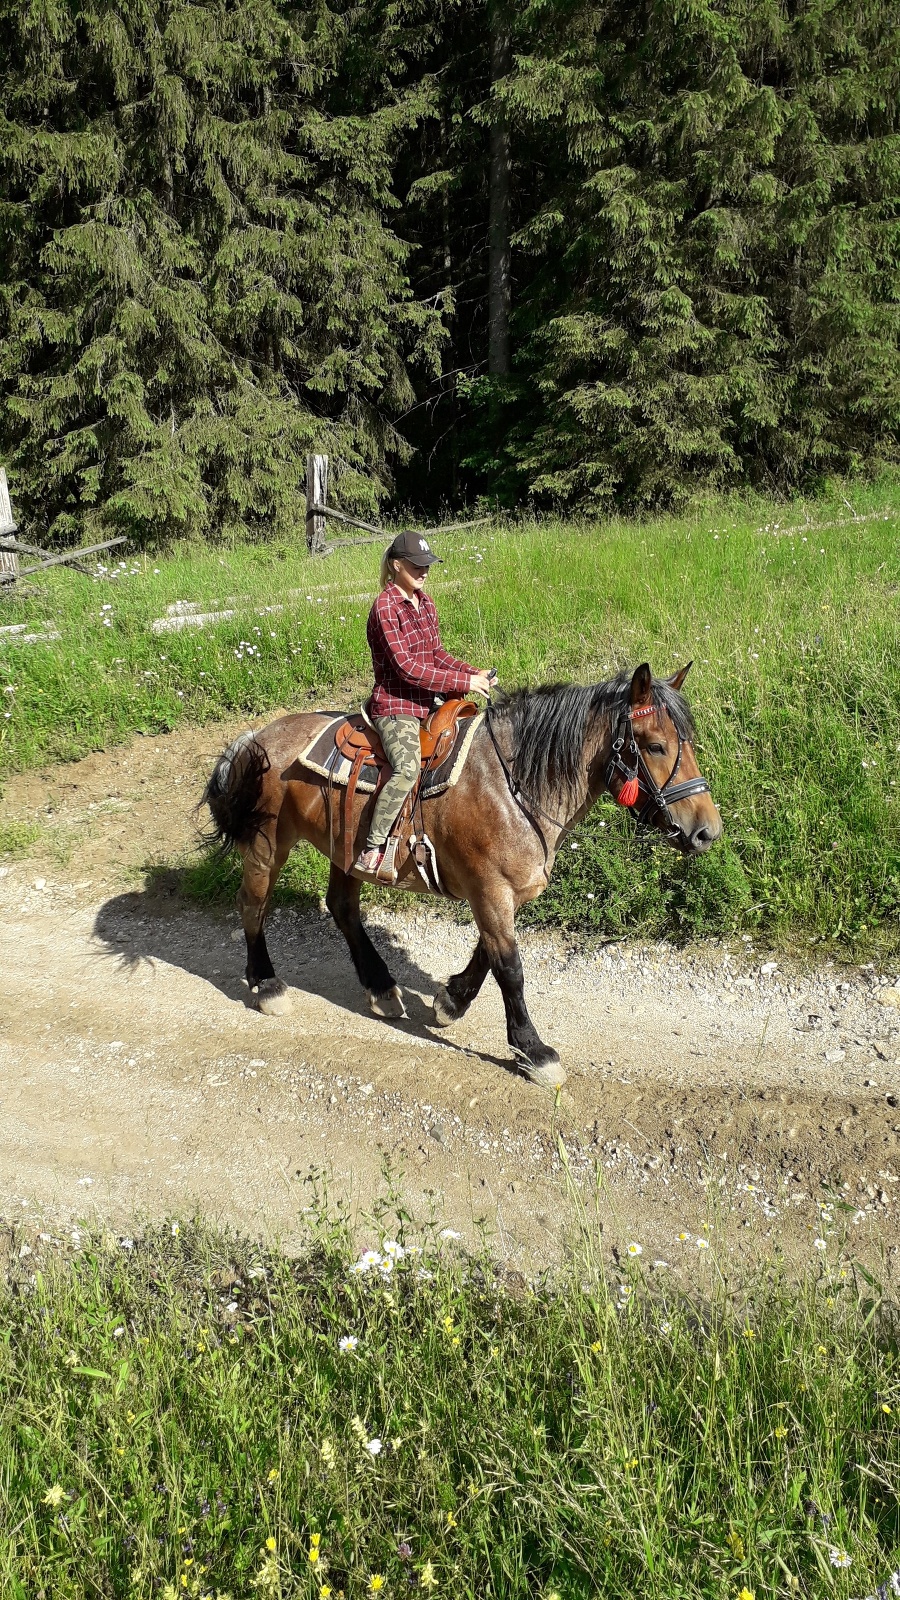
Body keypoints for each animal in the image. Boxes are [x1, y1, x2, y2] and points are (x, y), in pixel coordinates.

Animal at [199, 659, 717, 1088]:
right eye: (655, 746)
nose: (706, 832)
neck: (514, 785)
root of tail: (253, 738)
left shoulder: (503, 892)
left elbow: (488, 954)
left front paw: (451, 1001)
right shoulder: (489, 890)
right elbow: (510, 968)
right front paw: (533, 1050)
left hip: (343, 851)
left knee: (342, 908)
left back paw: (381, 987)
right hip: (267, 844)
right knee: (254, 904)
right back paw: (267, 985)